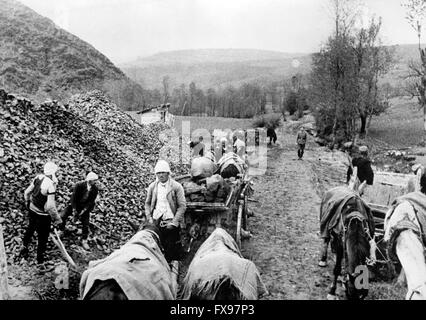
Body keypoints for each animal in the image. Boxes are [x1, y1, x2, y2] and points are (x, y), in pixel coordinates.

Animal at [316, 168, 376, 300]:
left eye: (363, 296)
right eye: (350, 294)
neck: (354, 221)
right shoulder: (340, 245)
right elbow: (337, 269)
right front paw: (332, 292)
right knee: (326, 240)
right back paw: (323, 259)